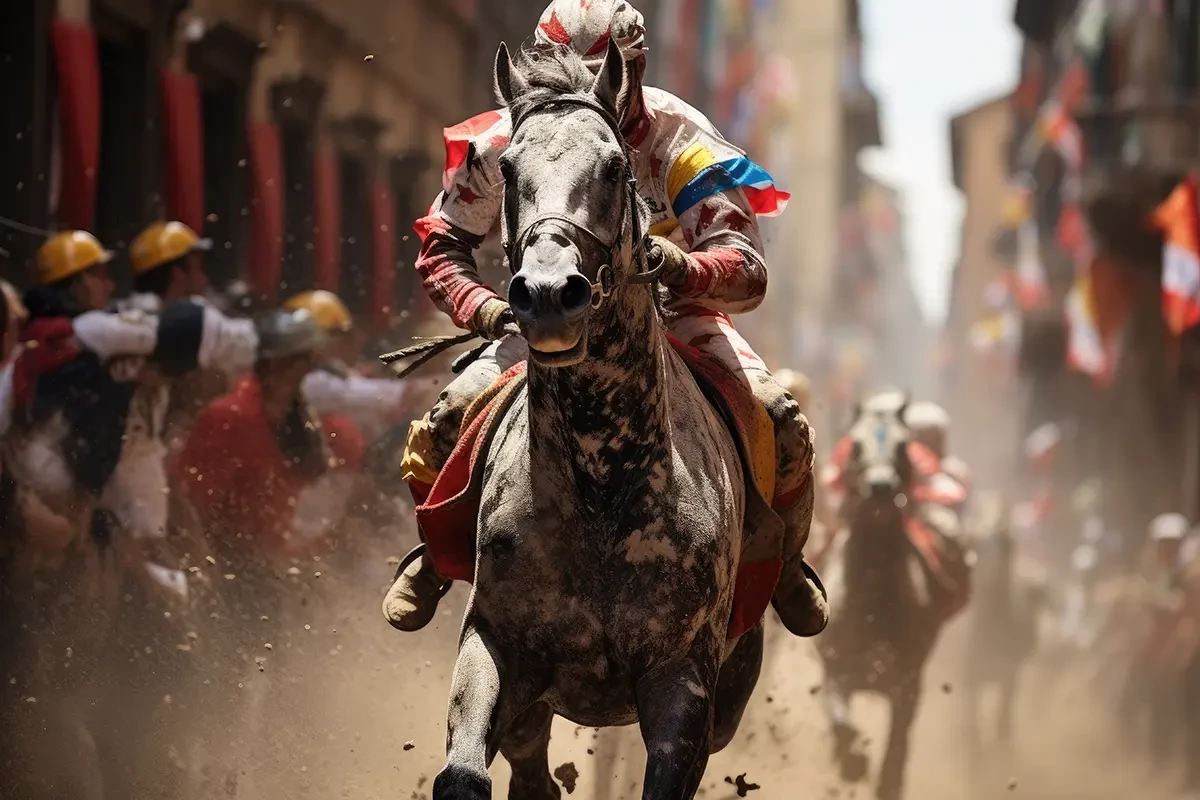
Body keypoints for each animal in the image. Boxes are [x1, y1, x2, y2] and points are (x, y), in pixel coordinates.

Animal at [816, 393, 945, 800]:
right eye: (856, 445)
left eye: (904, 446)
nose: (881, 487)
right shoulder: (837, 668)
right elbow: (840, 721)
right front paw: (853, 758)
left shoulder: (907, 682)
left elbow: (897, 747)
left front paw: (886, 776)